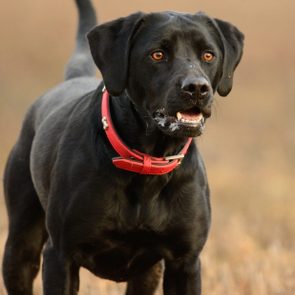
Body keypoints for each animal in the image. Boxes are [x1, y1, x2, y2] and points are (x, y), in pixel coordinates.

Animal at [2, 1, 244, 294]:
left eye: (208, 55)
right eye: (157, 54)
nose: (197, 87)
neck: (148, 162)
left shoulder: (184, 263)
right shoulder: (61, 256)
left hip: (148, 274)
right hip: (20, 248)